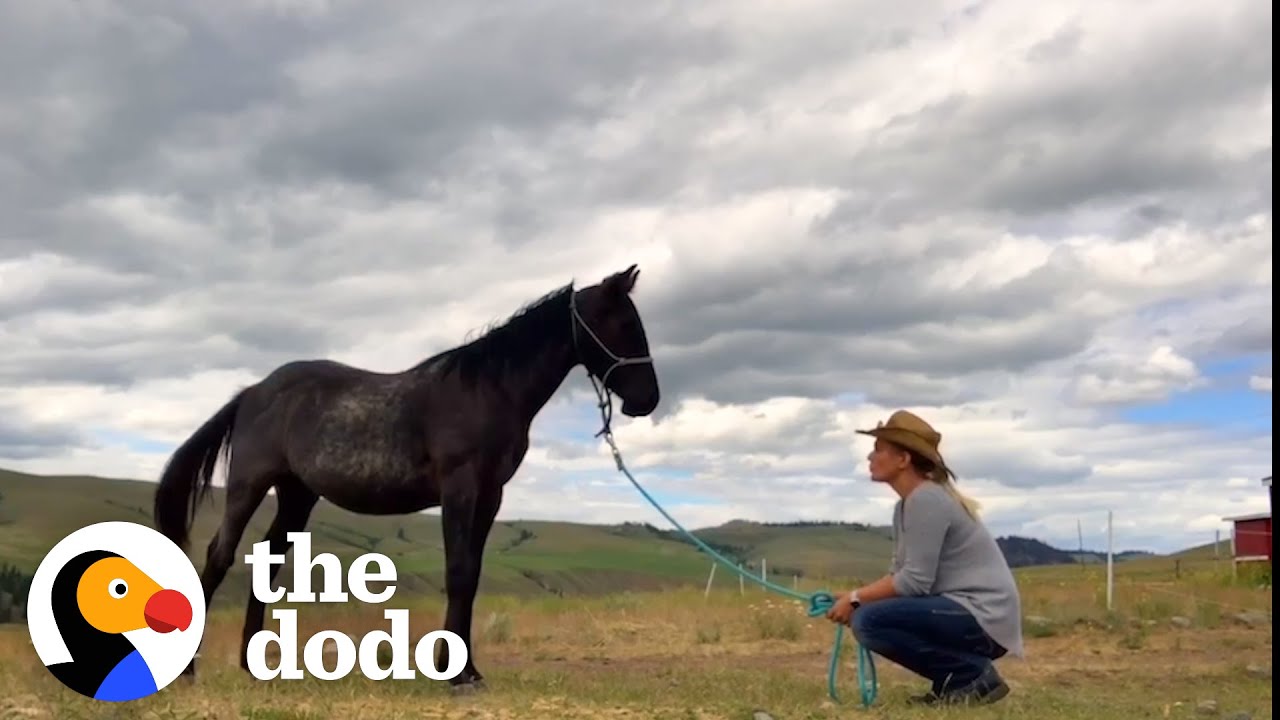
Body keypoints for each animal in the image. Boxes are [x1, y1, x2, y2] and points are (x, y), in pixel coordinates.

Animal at [152, 263, 660, 691]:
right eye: (624, 324)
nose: (648, 400)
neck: (486, 390)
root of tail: (252, 393)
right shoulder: (460, 489)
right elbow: (459, 573)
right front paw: (453, 673)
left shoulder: (490, 495)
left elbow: (472, 575)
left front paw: (469, 670)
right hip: (248, 486)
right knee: (219, 558)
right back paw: (189, 671)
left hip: (297, 495)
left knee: (269, 564)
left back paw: (253, 666)